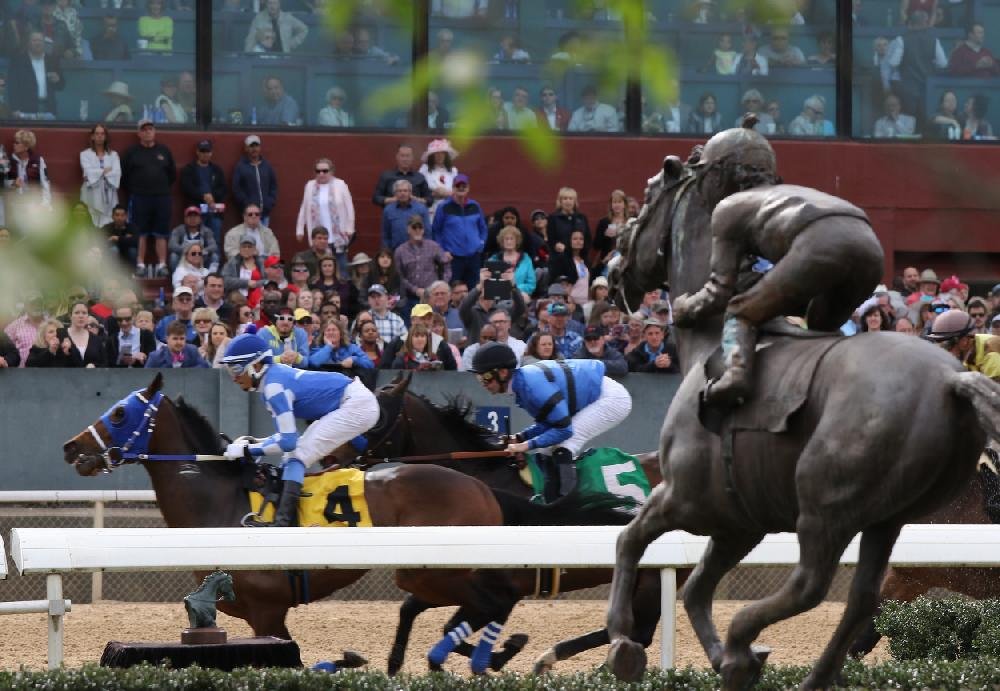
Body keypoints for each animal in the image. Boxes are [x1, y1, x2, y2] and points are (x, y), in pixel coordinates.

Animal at [62, 374, 628, 672]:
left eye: (119, 414)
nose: (71, 447)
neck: (219, 505)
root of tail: (481, 487)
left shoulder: (266, 612)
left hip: (445, 567)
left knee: (489, 601)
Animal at [348, 378, 676, 676]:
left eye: (375, 420)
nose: (342, 456)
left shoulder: (501, 587)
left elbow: (451, 625)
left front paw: (495, 657)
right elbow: (413, 609)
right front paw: (395, 664)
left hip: (650, 580)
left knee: (639, 632)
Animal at [600, 158, 1000, 691]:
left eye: (644, 203)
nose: (614, 273)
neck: (708, 344)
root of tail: (952, 380)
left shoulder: (686, 498)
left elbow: (630, 539)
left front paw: (623, 642)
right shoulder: (737, 521)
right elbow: (696, 587)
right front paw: (718, 659)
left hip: (825, 502)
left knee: (812, 584)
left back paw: (743, 640)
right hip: (885, 517)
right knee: (860, 601)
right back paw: (790, 669)